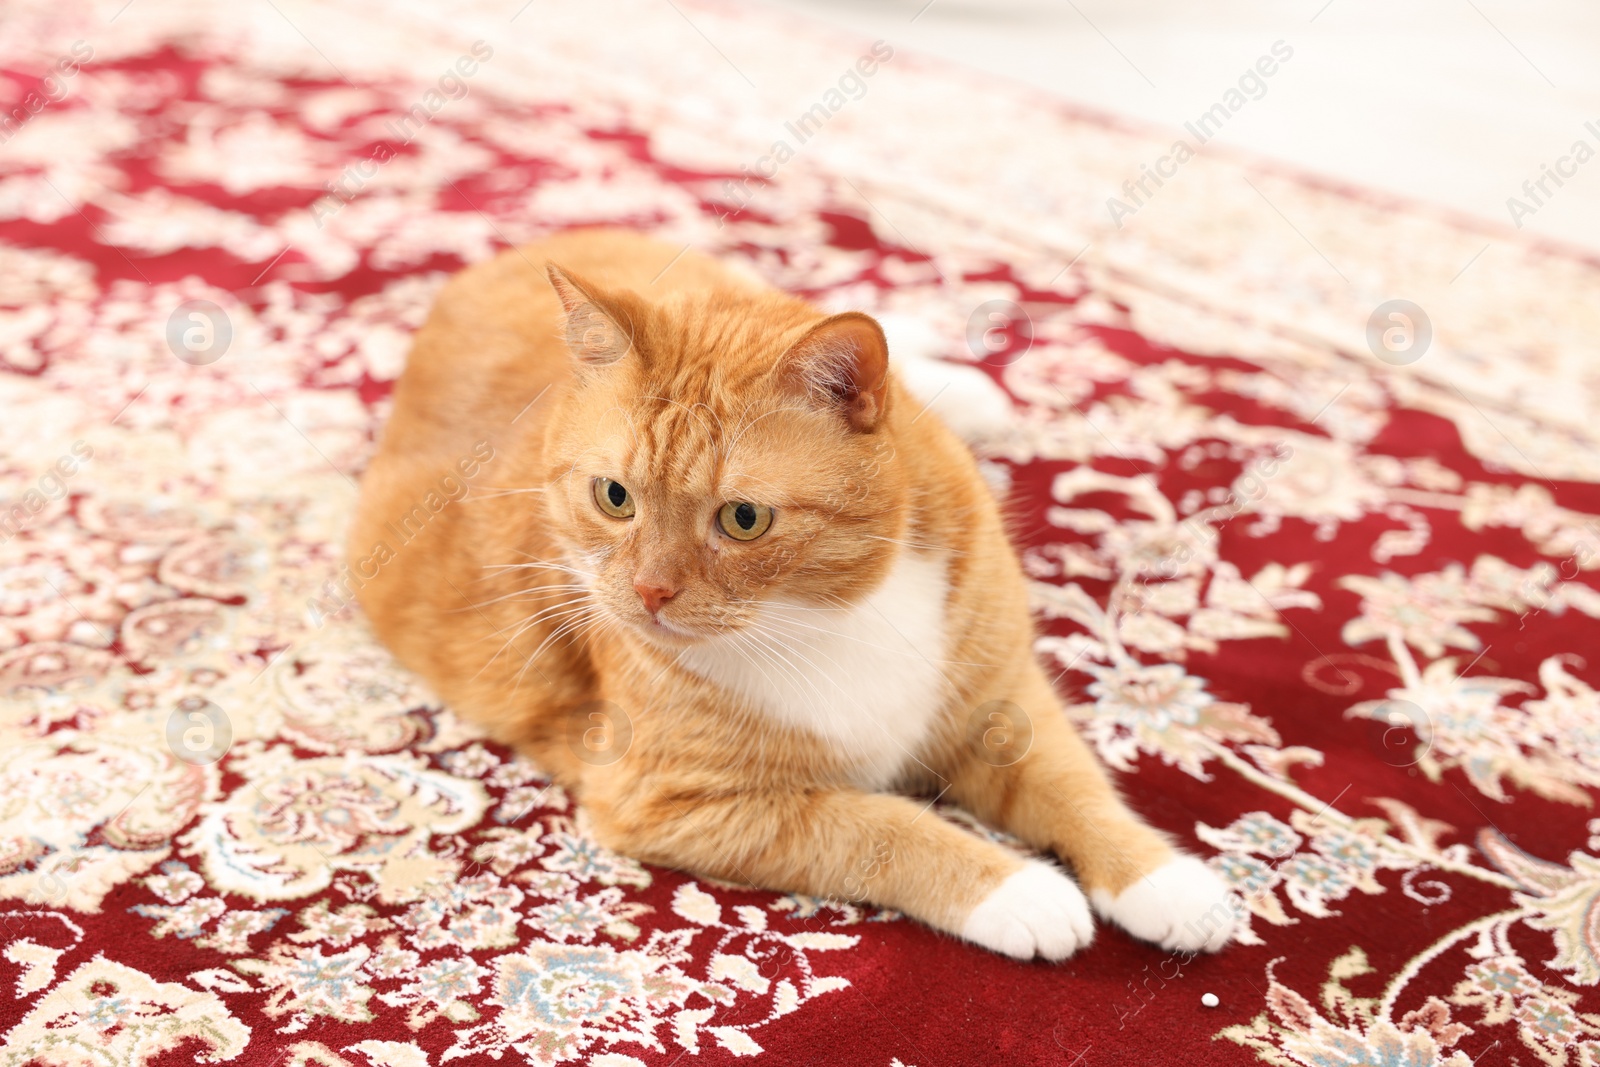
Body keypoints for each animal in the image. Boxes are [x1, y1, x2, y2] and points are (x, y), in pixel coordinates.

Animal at [353, 230, 1235, 966]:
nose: (647, 590)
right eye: (614, 497)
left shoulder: (1001, 698)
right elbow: (886, 828)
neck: (830, 610)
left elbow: (1076, 786)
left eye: (744, 518)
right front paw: (1019, 890)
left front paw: (1161, 879)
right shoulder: (682, 804)